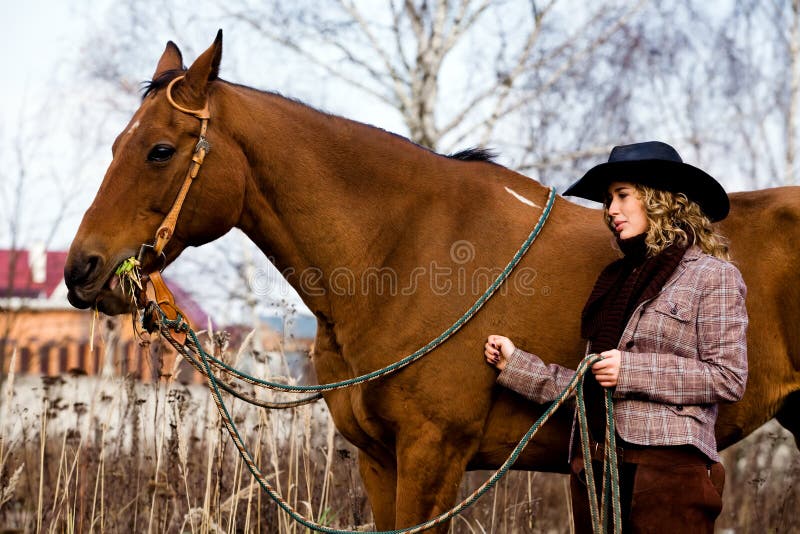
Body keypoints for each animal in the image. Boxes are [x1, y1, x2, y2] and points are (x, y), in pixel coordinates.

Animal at [65, 33, 796, 532]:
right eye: (114, 146)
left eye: (160, 150)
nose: (82, 269)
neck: (401, 256)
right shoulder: (379, 460)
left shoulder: (433, 456)